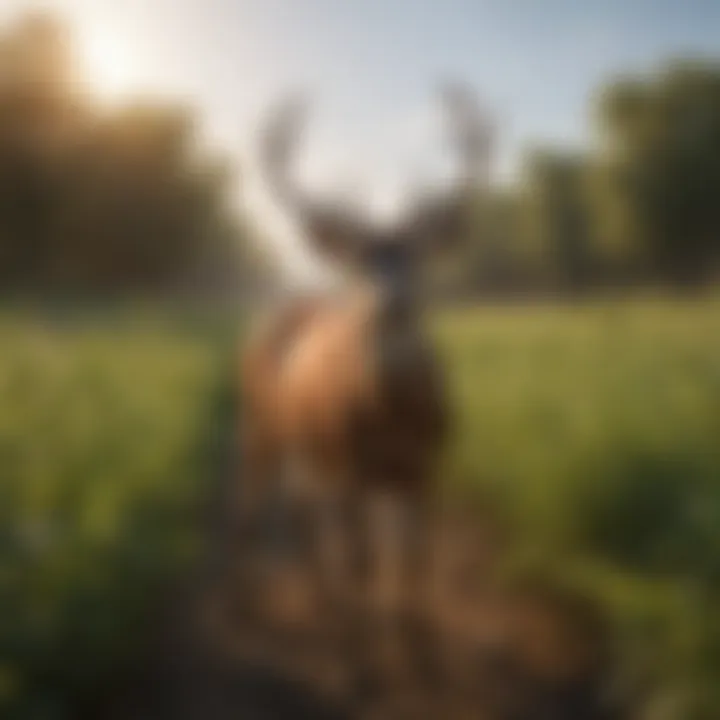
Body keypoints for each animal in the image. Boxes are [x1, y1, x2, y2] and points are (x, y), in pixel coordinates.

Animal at [239, 84, 492, 688]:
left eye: (419, 252)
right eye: (358, 258)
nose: (390, 304)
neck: (392, 417)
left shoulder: (425, 466)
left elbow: (414, 560)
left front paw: (424, 650)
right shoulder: (351, 466)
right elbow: (363, 563)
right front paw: (360, 663)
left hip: (307, 446)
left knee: (301, 509)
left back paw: (319, 599)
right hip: (259, 421)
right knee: (253, 499)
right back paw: (246, 608)